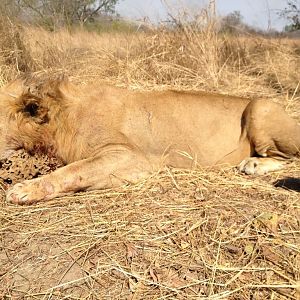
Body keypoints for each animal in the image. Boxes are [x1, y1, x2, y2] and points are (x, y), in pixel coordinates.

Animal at [0, 76, 300, 205]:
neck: (60, 118)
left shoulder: (131, 157)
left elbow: (75, 170)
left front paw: (25, 189)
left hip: (261, 105)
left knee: (289, 157)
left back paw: (254, 165)